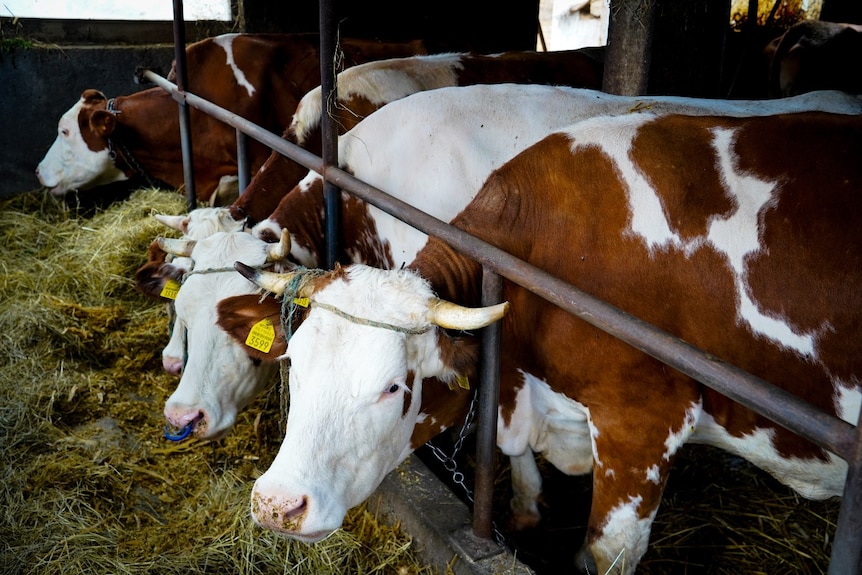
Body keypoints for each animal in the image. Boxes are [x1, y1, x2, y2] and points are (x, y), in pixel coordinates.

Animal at [224, 110, 862, 572]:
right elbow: (512, 450)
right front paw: (526, 513)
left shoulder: (643, 422)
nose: (277, 504)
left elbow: (606, 553)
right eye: (295, 363)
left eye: (392, 389)